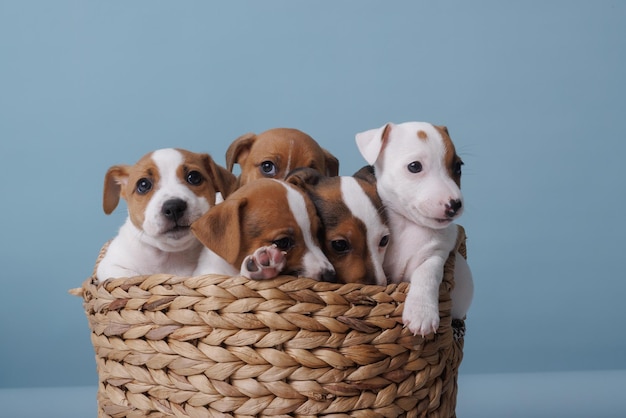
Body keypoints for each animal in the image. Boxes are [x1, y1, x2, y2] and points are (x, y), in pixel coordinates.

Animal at [95, 149, 236, 282]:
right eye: (143, 184)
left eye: (194, 177)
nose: (173, 207)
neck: (170, 254)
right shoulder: (110, 265)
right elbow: (132, 276)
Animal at [356, 121, 472, 336]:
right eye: (415, 166)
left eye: (458, 167)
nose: (455, 204)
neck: (408, 224)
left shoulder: (437, 254)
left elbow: (426, 274)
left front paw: (421, 313)